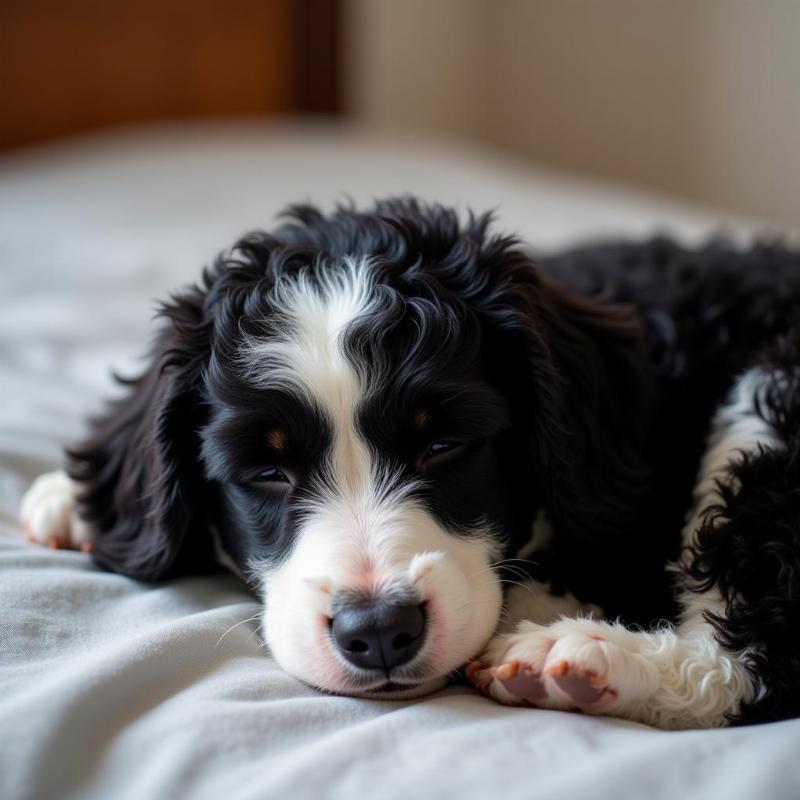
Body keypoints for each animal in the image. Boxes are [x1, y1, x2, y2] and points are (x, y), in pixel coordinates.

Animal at [17, 197, 800, 728]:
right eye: (268, 471)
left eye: (442, 445)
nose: (378, 631)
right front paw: (78, 502)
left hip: (770, 398)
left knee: (756, 652)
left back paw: (577, 659)